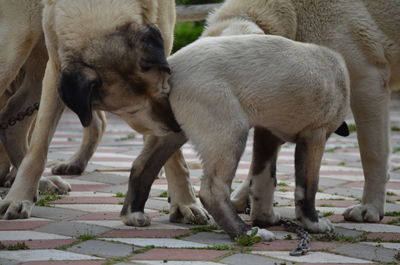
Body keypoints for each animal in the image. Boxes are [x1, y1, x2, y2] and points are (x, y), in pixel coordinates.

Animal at [0, 0, 206, 225]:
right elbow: (38, 147)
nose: (177, 127)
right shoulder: (57, 67)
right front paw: (19, 198)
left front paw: (184, 202)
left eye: (165, 89)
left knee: (14, 117)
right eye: (131, 110)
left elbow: (171, 154)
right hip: (15, 48)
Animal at [122, 34, 350, 239]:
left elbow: (264, 180)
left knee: (142, 167)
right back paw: (246, 233)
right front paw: (314, 224)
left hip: (171, 135)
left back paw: (133, 215)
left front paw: (266, 217)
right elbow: (307, 187)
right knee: (212, 190)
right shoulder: (315, 135)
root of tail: (174, 65)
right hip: (231, 133)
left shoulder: (267, 134)